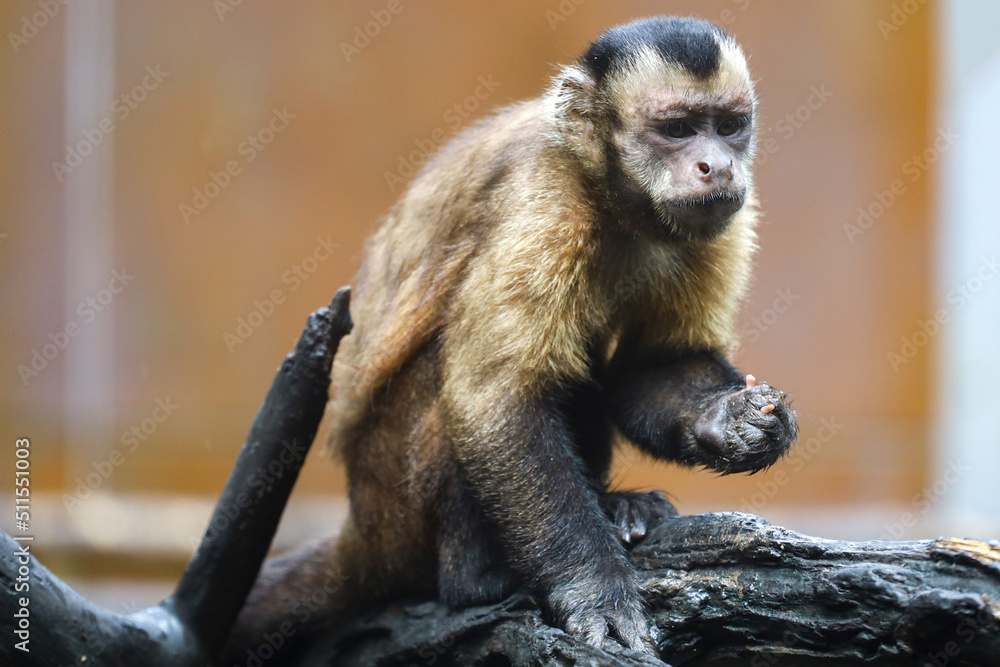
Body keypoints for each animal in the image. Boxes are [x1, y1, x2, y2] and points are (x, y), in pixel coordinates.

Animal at [224, 16, 798, 663]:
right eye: (677, 130)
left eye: (728, 127)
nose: (716, 165)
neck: (613, 199)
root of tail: (363, 530)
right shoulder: (542, 208)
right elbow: (494, 398)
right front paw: (592, 588)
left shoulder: (723, 218)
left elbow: (657, 366)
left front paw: (735, 421)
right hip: (395, 504)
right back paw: (477, 577)